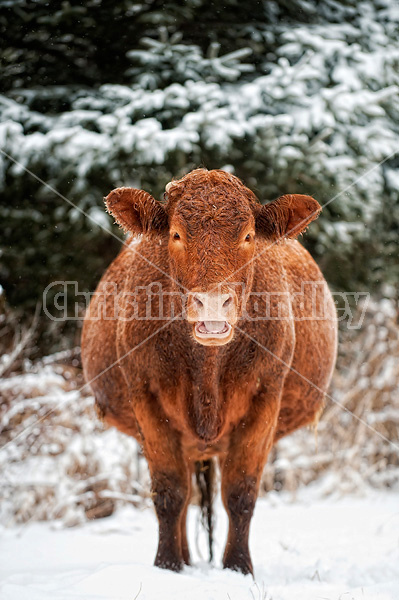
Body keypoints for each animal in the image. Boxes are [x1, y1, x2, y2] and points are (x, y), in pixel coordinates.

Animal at [81, 166, 338, 576]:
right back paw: (184, 559)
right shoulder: (146, 395)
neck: (207, 371)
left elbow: (241, 492)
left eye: (248, 235)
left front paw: (238, 568)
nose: (214, 303)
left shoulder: (266, 395)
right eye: (175, 234)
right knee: (185, 496)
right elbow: (169, 493)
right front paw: (167, 567)